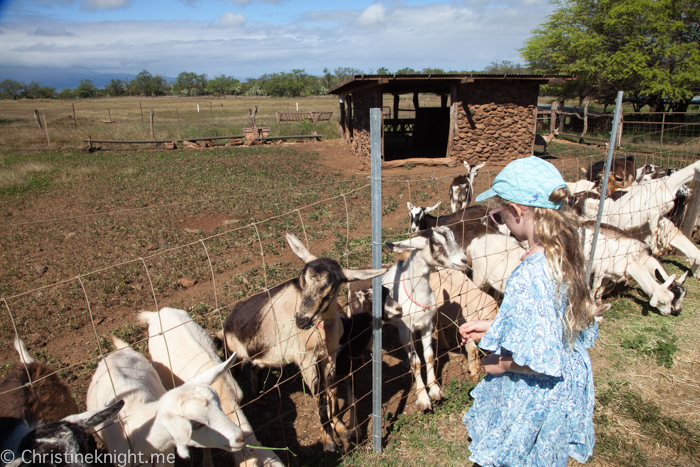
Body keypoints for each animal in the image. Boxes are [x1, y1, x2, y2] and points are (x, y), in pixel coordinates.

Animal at [220, 234, 386, 454]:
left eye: (330, 290)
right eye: (301, 282)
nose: (300, 320)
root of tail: (229, 320)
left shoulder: (329, 356)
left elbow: (331, 391)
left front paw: (342, 429)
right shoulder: (307, 361)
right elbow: (320, 398)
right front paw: (329, 441)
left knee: (257, 367)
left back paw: (261, 399)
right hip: (233, 355)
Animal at [382, 226, 470, 410]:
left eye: (453, 237)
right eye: (437, 243)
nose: (464, 260)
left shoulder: (427, 325)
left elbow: (429, 356)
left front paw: (435, 391)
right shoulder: (404, 330)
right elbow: (416, 362)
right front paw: (423, 398)